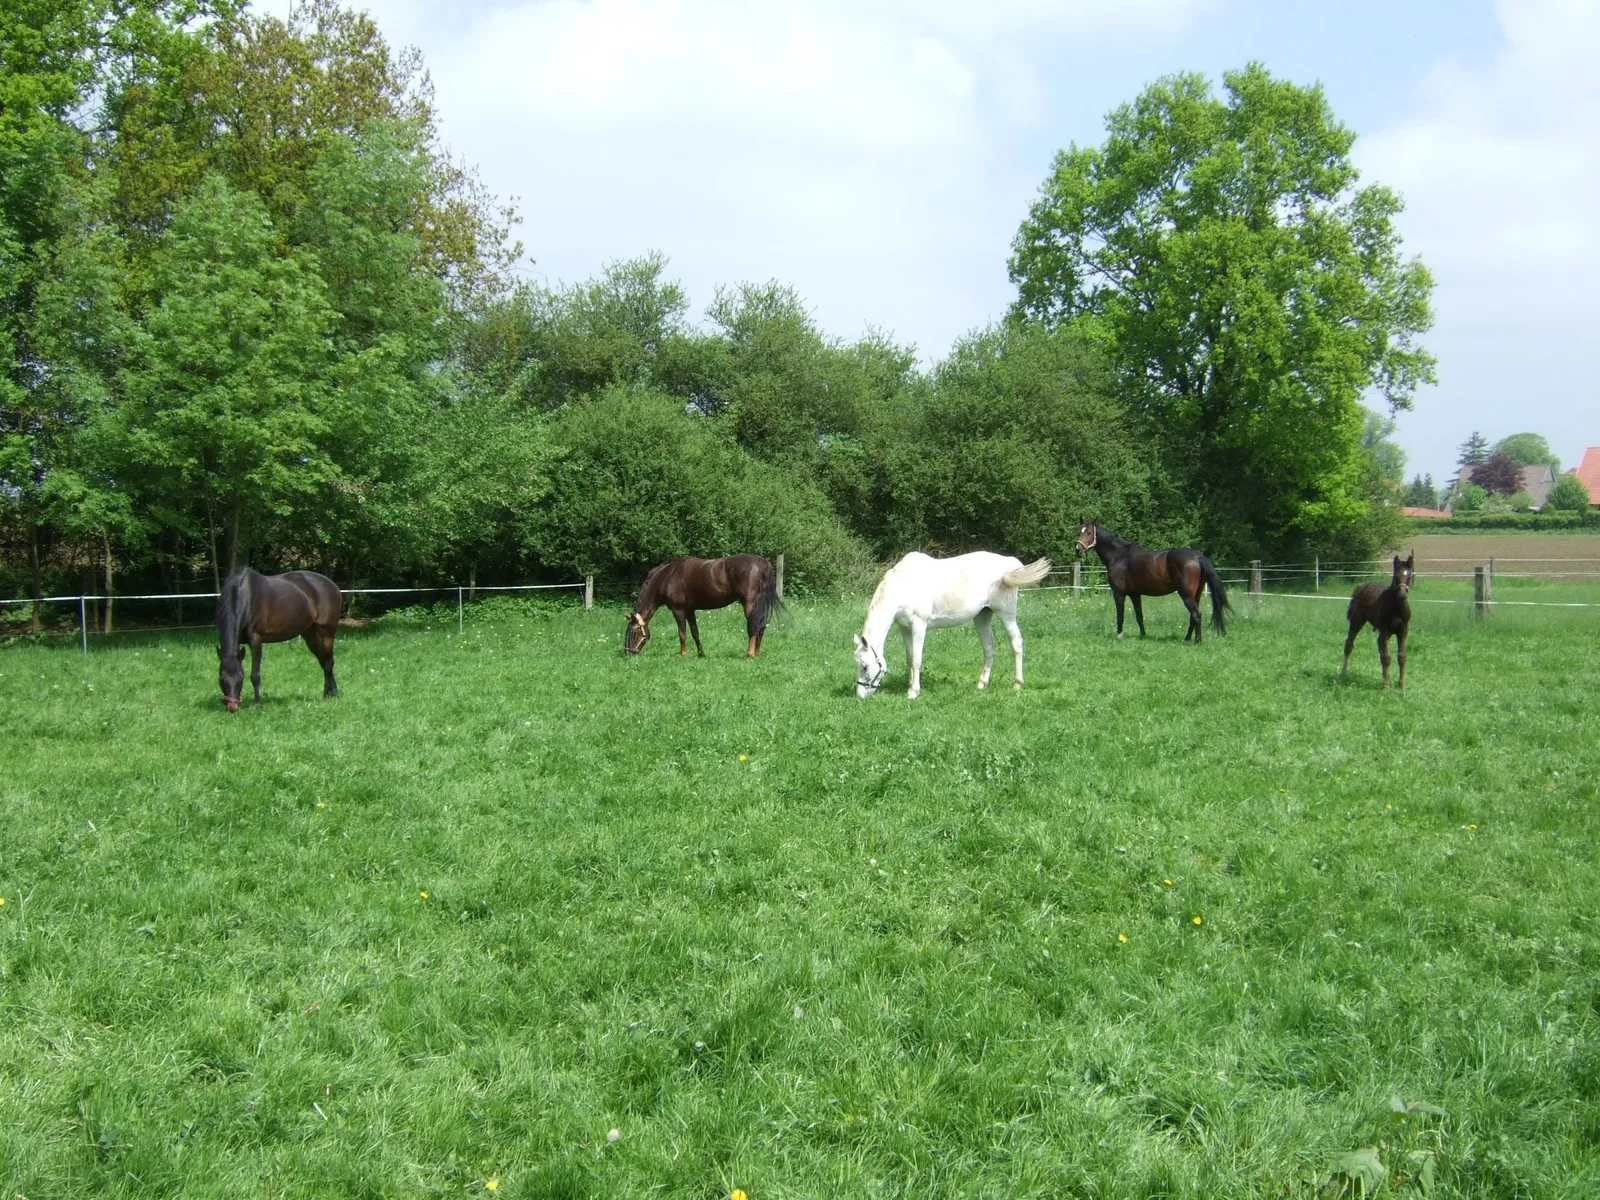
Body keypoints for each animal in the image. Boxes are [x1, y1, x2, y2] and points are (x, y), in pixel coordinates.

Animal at [216, 566, 343, 711]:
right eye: (221, 677)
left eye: (241, 677)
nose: (232, 707)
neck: (247, 596)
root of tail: (333, 586)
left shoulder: (256, 640)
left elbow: (255, 675)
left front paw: (258, 704)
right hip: (312, 635)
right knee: (325, 662)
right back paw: (330, 693)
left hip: (326, 634)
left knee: (328, 664)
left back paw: (330, 694)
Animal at [623, 554, 780, 658]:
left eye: (634, 631)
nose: (628, 653)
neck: (667, 577)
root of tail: (762, 563)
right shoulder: (690, 610)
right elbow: (695, 632)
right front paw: (701, 654)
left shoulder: (678, 610)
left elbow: (682, 633)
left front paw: (683, 654)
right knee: (761, 626)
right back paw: (757, 652)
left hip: (750, 604)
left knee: (754, 626)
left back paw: (750, 653)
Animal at [853, 551, 1051, 699]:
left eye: (864, 666)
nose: (860, 696)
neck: (903, 586)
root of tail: (1010, 564)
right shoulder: (904, 628)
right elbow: (909, 658)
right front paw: (909, 685)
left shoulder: (919, 625)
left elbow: (917, 659)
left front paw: (913, 692)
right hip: (982, 616)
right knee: (989, 647)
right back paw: (982, 684)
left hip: (1006, 614)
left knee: (1016, 643)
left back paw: (1017, 684)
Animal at [1076, 521, 1229, 642]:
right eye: (1079, 531)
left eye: (1089, 532)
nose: (1078, 549)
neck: (1119, 556)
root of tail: (1198, 557)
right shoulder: (1135, 594)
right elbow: (1139, 616)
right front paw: (1143, 635)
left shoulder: (1119, 593)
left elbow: (1120, 616)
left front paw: (1119, 636)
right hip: (1195, 596)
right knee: (1193, 616)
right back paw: (1187, 638)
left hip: (1186, 596)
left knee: (1196, 615)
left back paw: (1197, 640)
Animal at [1341, 553, 1414, 689]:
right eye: (1396, 576)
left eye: (1409, 576)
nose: (1402, 595)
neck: (1396, 608)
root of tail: (1362, 587)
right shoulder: (1385, 630)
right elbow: (1387, 657)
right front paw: (1386, 685)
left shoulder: (1403, 631)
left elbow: (1401, 657)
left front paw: (1401, 685)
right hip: (1357, 621)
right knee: (1349, 644)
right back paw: (1343, 673)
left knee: (1380, 647)